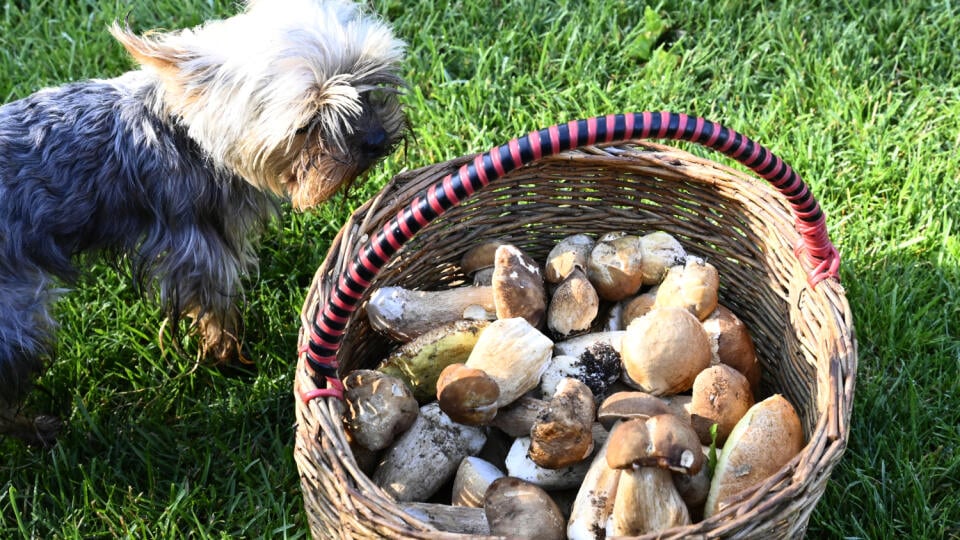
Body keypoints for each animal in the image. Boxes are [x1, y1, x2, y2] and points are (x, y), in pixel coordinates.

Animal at [0, 0, 404, 446]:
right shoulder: (198, 248)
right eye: (307, 124)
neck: (190, 134)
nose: (376, 141)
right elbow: (216, 308)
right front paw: (231, 360)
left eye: (368, 80)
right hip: (15, 318)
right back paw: (37, 429)